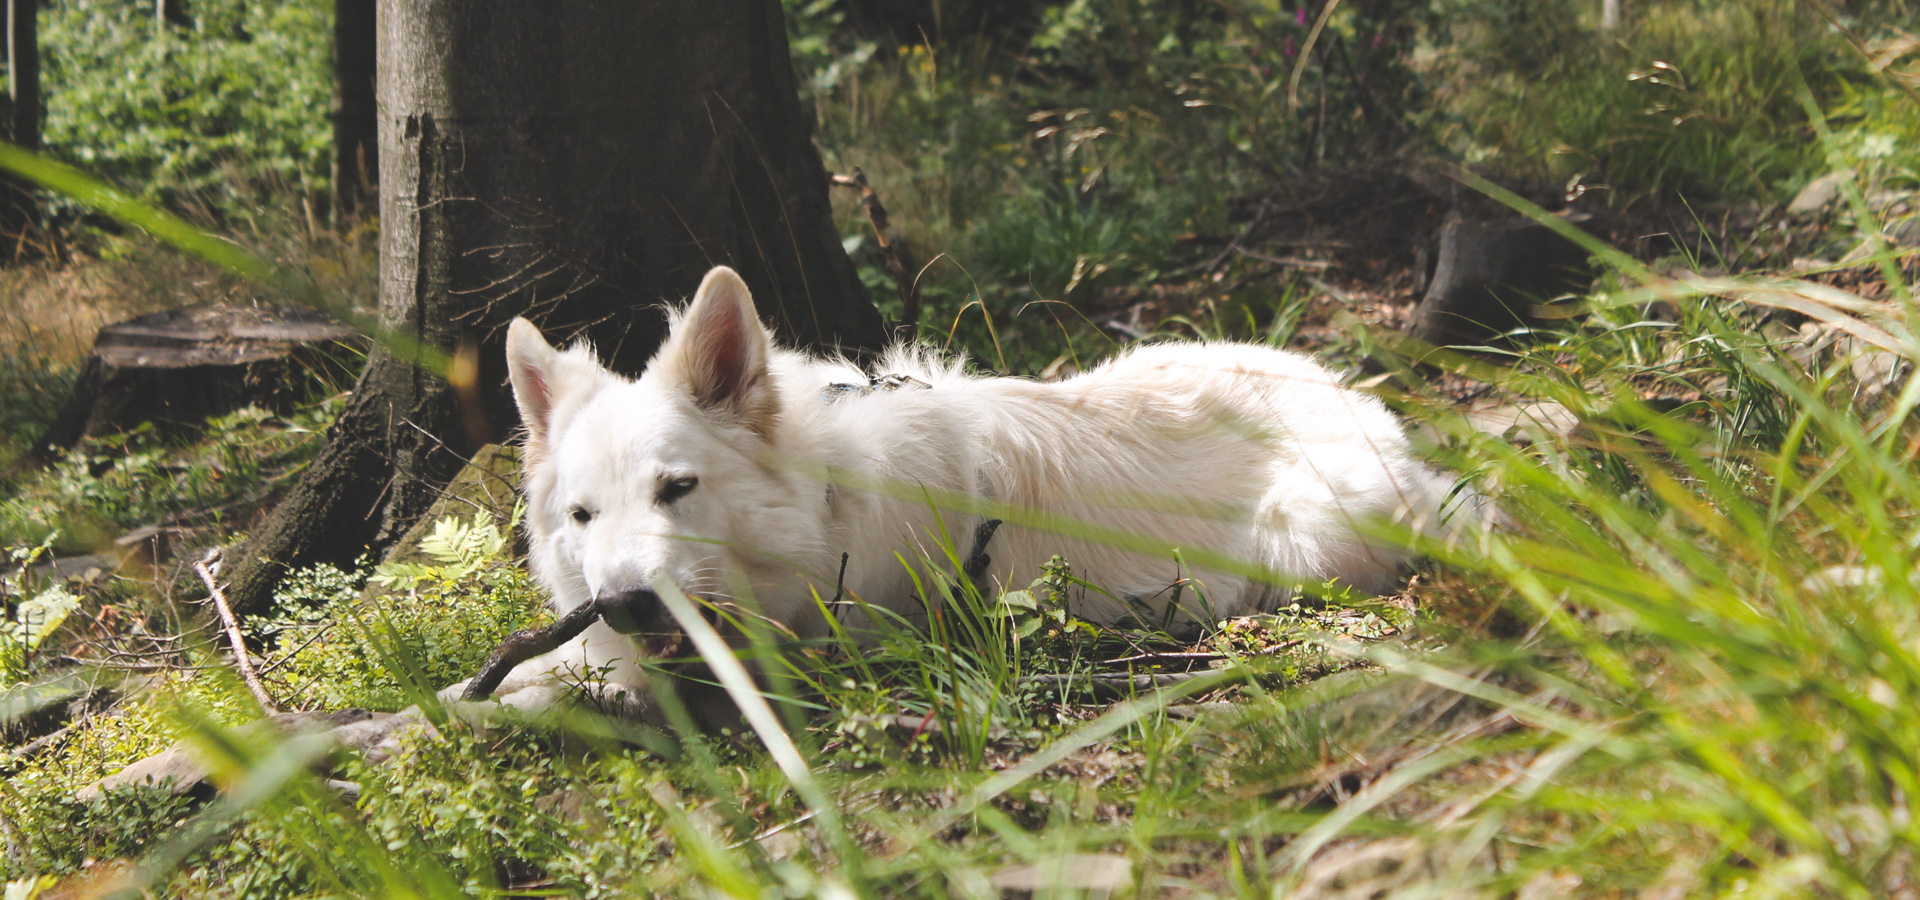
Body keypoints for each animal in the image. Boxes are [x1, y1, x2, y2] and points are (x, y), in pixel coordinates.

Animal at [453, 265, 1477, 711]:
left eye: (678, 488)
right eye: (582, 516)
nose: (624, 603)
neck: (825, 500)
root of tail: (1361, 401)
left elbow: (558, 684)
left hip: (1307, 535)